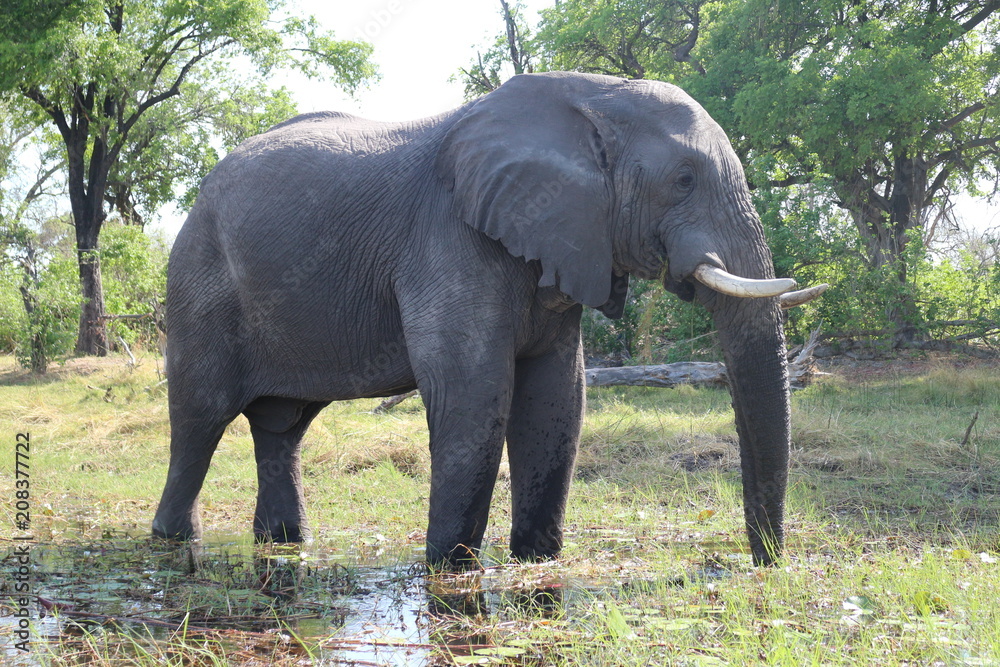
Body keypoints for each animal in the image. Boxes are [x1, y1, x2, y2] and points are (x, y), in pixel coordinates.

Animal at [152, 71, 824, 567]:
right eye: (684, 179)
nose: (761, 565)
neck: (585, 102)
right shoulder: (450, 235)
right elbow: (473, 391)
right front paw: (450, 567)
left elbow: (557, 396)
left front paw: (537, 562)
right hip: (199, 281)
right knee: (200, 418)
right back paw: (173, 541)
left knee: (282, 427)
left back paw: (285, 543)